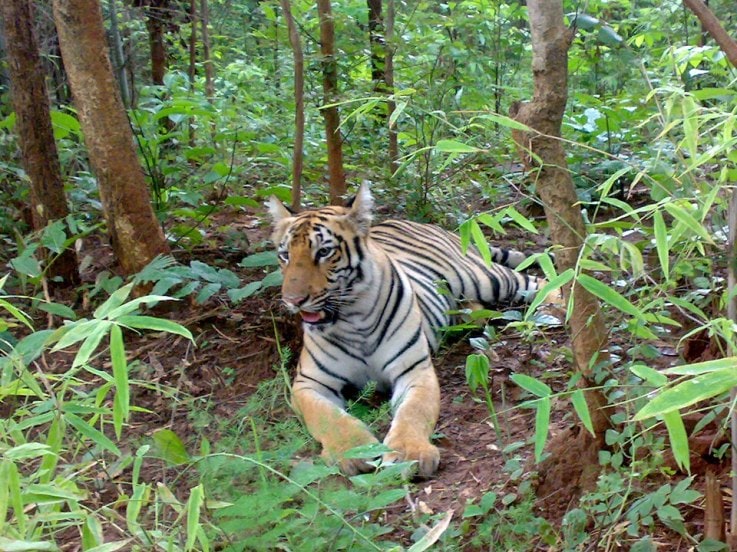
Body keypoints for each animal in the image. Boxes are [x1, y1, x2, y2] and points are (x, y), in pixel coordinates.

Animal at [268, 183, 559, 477]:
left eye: (324, 253)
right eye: (284, 255)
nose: (293, 300)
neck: (352, 319)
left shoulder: (414, 371)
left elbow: (412, 412)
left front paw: (409, 453)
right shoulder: (308, 383)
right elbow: (329, 418)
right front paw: (353, 451)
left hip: (483, 277)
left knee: (534, 280)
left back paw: (558, 304)